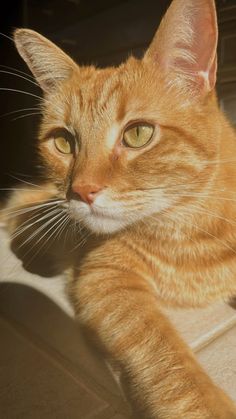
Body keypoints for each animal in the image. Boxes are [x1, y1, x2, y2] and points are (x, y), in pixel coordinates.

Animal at [3, 0, 236, 416]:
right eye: (64, 141)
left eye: (138, 134)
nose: (81, 191)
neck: (189, 227)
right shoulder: (107, 277)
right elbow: (168, 363)